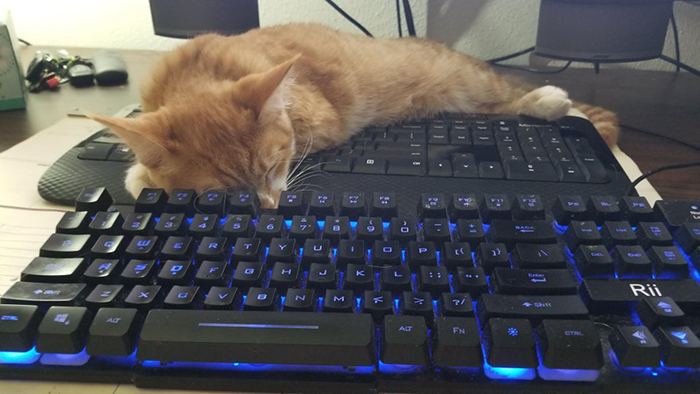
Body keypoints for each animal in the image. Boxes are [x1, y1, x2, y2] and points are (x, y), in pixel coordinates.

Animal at [89, 23, 616, 209]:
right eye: (228, 195)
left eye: (272, 165)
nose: (270, 207)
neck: (198, 72)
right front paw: (141, 172)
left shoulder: (317, 117)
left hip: (469, 82)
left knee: (512, 97)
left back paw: (550, 99)